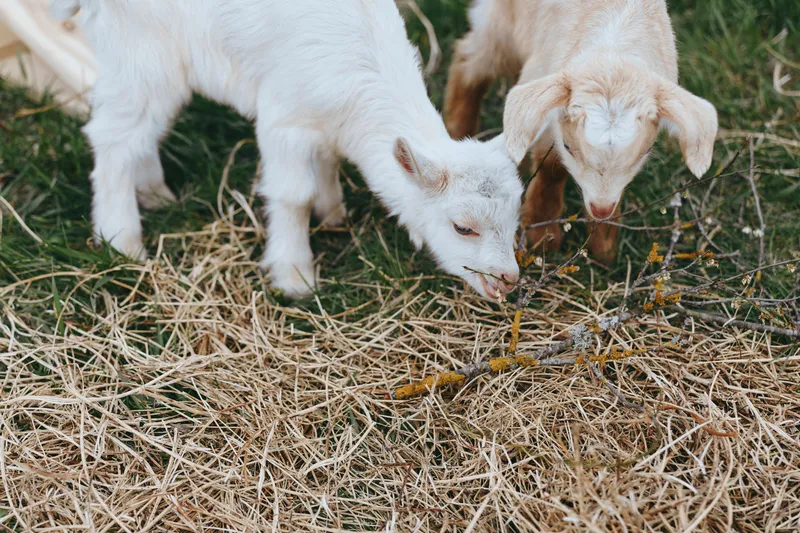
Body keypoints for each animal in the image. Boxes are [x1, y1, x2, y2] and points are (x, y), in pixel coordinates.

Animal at [54, 0, 524, 299]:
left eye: (515, 220)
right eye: (462, 227)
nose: (508, 278)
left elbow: (327, 162)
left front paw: (333, 212)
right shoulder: (284, 120)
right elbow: (293, 196)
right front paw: (295, 275)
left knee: (138, 131)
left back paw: (153, 192)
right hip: (146, 53)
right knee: (114, 139)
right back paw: (122, 240)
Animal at [444, 0, 718, 262]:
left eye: (645, 152)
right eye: (568, 147)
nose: (601, 209)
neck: (612, 53)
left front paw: (604, 246)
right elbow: (551, 168)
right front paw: (543, 236)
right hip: (503, 28)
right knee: (469, 63)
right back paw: (459, 133)